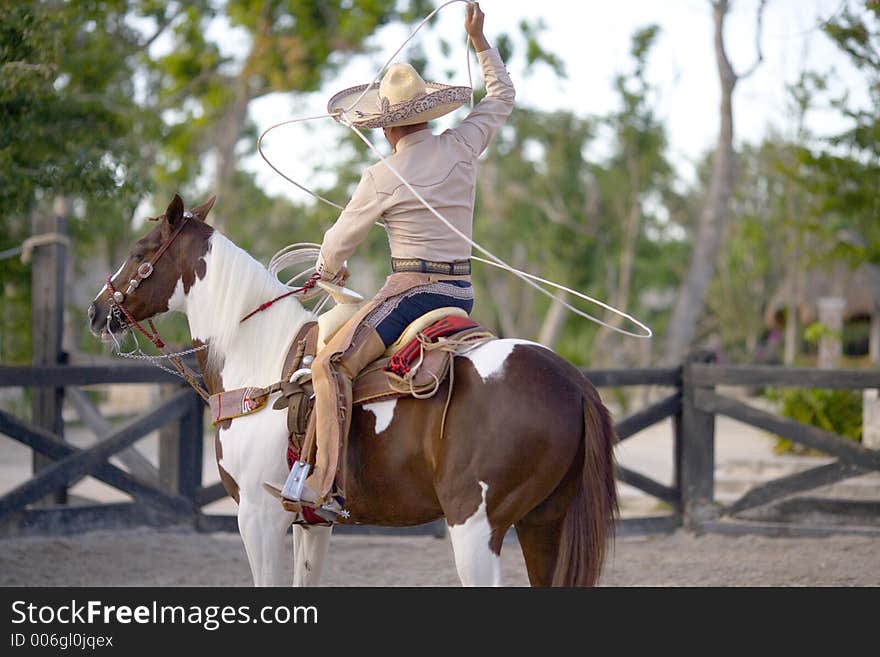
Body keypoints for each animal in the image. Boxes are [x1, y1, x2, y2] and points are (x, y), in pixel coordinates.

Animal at [87, 193, 612, 584]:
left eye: (139, 251)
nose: (96, 312)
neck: (259, 358)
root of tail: (572, 383)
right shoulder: (310, 525)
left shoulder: (258, 516)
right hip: (544, 522)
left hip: (476, 528)